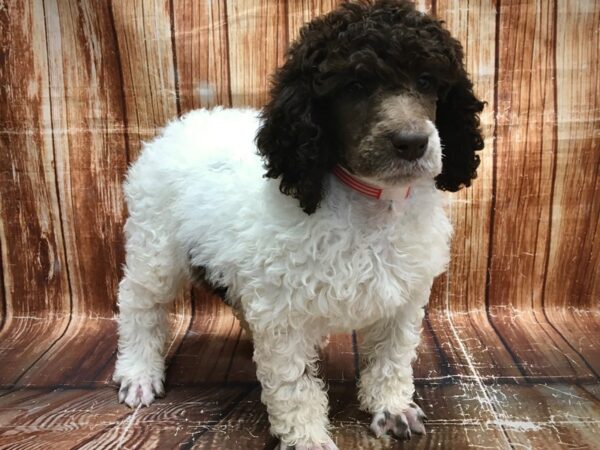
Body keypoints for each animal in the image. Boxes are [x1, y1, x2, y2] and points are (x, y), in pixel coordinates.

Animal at [115, 1, 486, 448]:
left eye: (428, 80)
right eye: (354, 86)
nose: (413, 143)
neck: (370, 204)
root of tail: (178, 125)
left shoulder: (403, 296)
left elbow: (391, 356)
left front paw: (392, 407)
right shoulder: (282, 316)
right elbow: (295, 384)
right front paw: (309, 437)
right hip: (155, 246)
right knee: (140, 304)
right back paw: (138, 372)